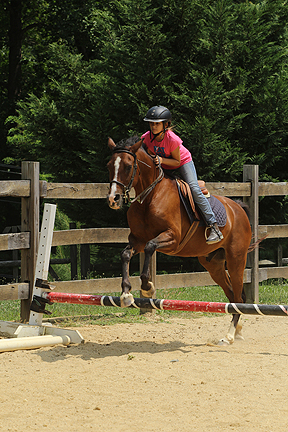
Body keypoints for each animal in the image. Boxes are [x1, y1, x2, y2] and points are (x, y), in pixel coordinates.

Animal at [106, 135, 252, 344]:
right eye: (109, 165)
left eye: (127, 166)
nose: (113, 199)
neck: (151, 196)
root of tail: (238, 208)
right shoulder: (137, 240)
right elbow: (125, 254)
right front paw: (126, 293)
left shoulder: (172, 239)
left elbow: (150, 247)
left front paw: (147, 287)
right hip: (213, 264)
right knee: (232, 294)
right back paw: (237, 330)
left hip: (236, 259)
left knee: (239, 297)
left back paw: (229, 336)